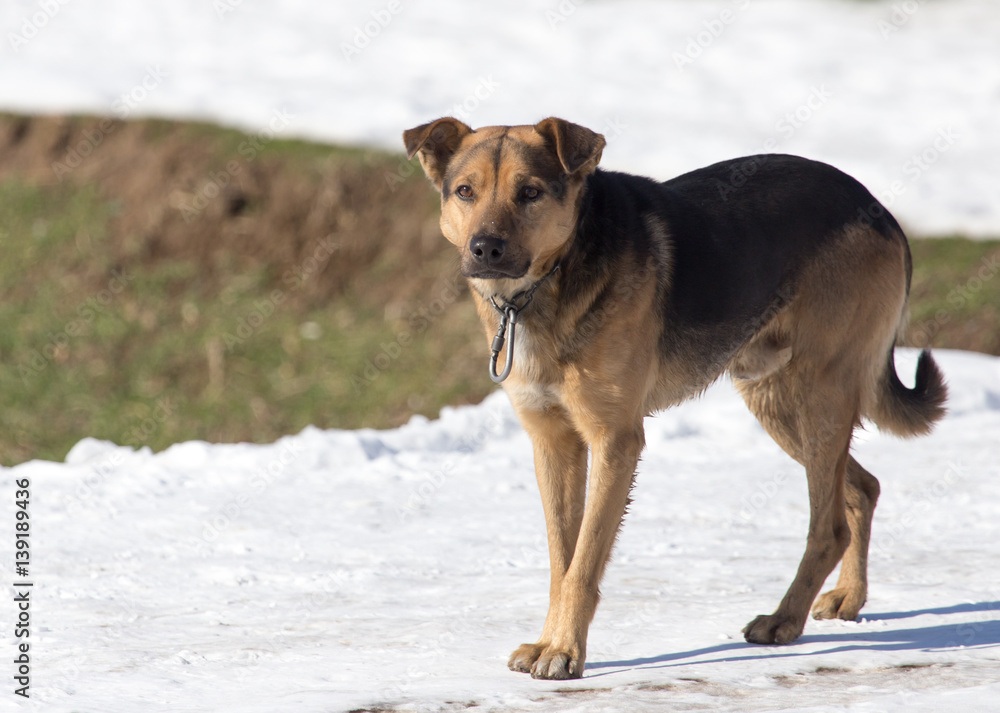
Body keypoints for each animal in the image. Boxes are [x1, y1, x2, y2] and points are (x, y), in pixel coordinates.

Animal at [402, 115, 948, 680]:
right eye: (465, 192)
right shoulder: (553, 441)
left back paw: (783, 619)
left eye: (529, 192)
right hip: (775, 399)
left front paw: (565, 650)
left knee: (830, 526)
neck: (547, 283)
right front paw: (549, 640)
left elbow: (583, 561)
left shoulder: (615, 440)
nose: (484, 248)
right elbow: (561, 558)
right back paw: (849, 597)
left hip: (818, 394)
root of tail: (878, 207)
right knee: (861, 488)